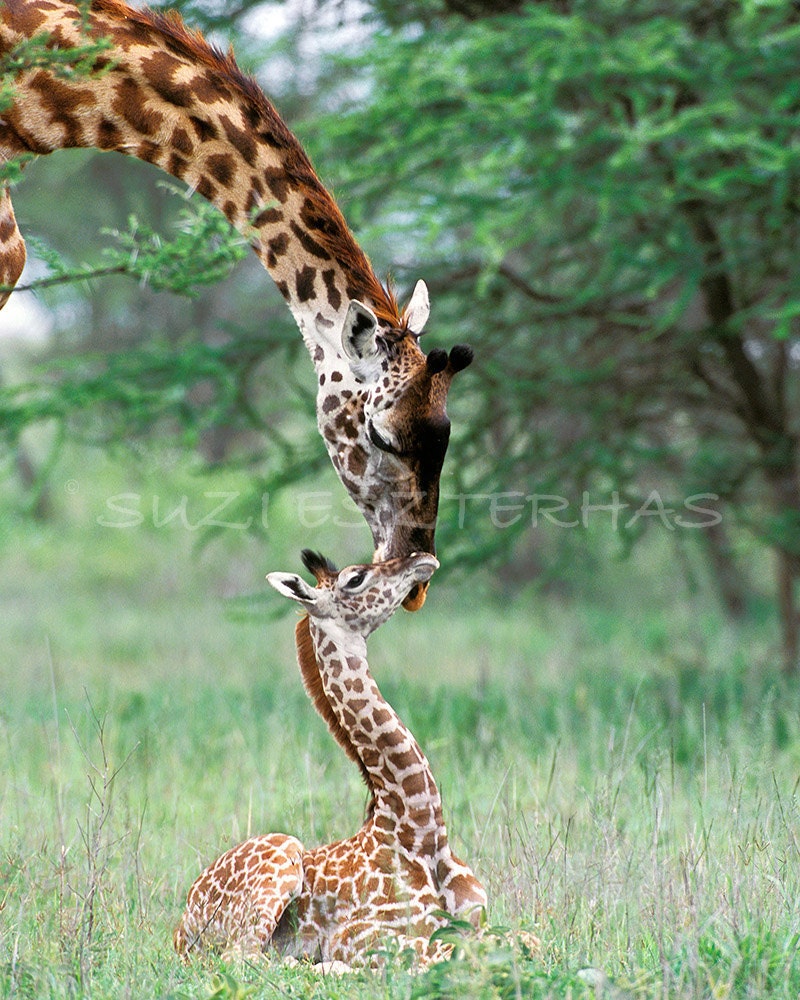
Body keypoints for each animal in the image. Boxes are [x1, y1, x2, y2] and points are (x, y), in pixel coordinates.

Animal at [173, 549, 487, 966]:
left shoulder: (477, 919)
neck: (421, 833)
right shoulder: (362, 936)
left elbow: (520, 939)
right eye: (355, 579)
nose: (422, 558)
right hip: (281, 855)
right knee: (246, 957)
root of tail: (180, 928)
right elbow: (449, 952)